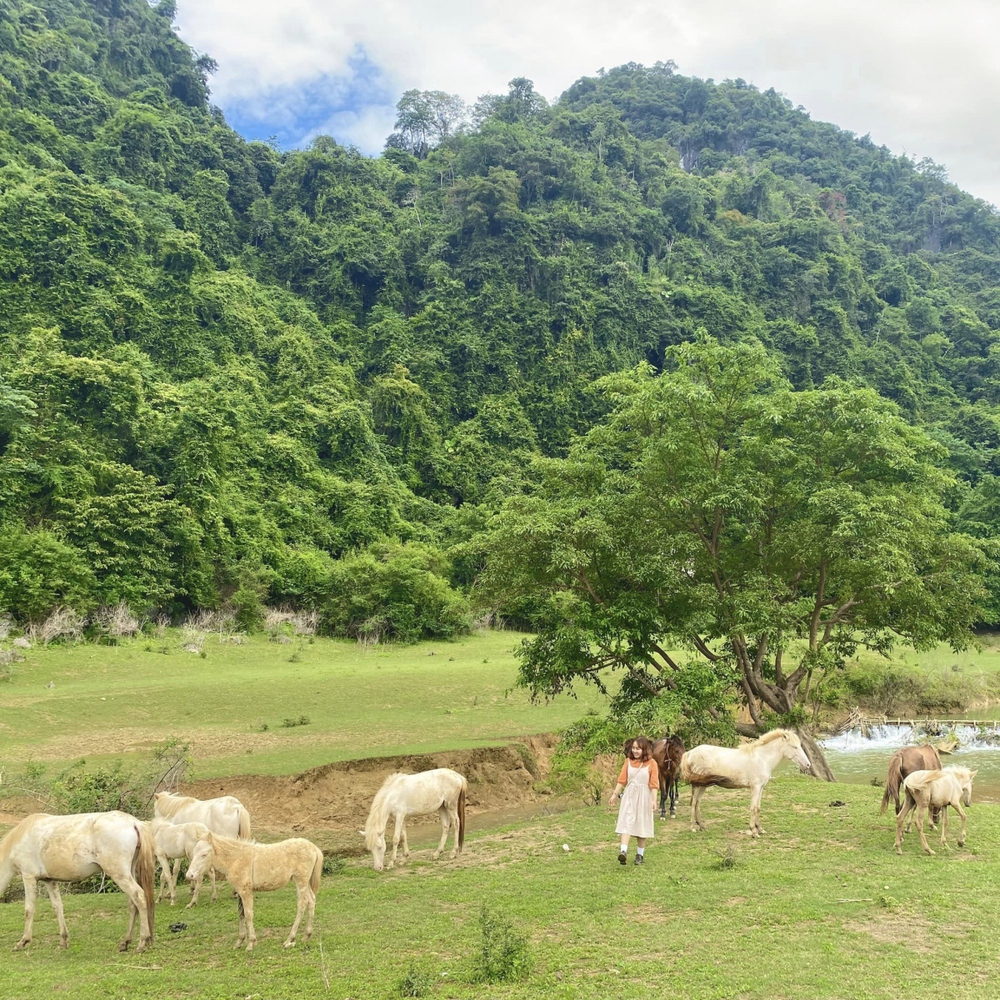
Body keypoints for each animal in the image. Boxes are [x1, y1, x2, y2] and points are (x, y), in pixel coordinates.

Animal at [0, 812, 155, 952]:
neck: (18, 841)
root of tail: (134, 822)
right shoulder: (49, 881)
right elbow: (58, 907)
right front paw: (63, 940)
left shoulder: (29, 877)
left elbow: (29, 909)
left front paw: (23, 941)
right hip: (128, 872)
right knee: (132, 903)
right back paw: (125, 942)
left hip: (119, 874)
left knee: (139, 897)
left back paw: (142, 942)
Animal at [186, 832, 322, 948]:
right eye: (194, 852)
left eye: (204, 854)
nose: (189, 875)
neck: (236, 859)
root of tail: (314, 848)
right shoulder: (239, 891)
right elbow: (240, 913)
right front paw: (239, 941)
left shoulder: (246, 891)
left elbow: (248, 914)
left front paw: (251, 943)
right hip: (305, 882)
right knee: (312, 901)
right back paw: (306, 936)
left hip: (301, 880)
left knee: (302, 904)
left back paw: (290, 939)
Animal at [680, 728, 812, 836]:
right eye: (794, 747)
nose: (808, 765)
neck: (762, 758)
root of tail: (690, 753)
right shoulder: (755, 788)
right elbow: (753, 808)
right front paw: (753, 832)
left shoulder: (761, 788)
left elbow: (758, 808)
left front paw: (760, 829)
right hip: (697, 785)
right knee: (693, 803)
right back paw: (692, 827)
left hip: (703, 785)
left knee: (697, 803)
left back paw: (702, 826)